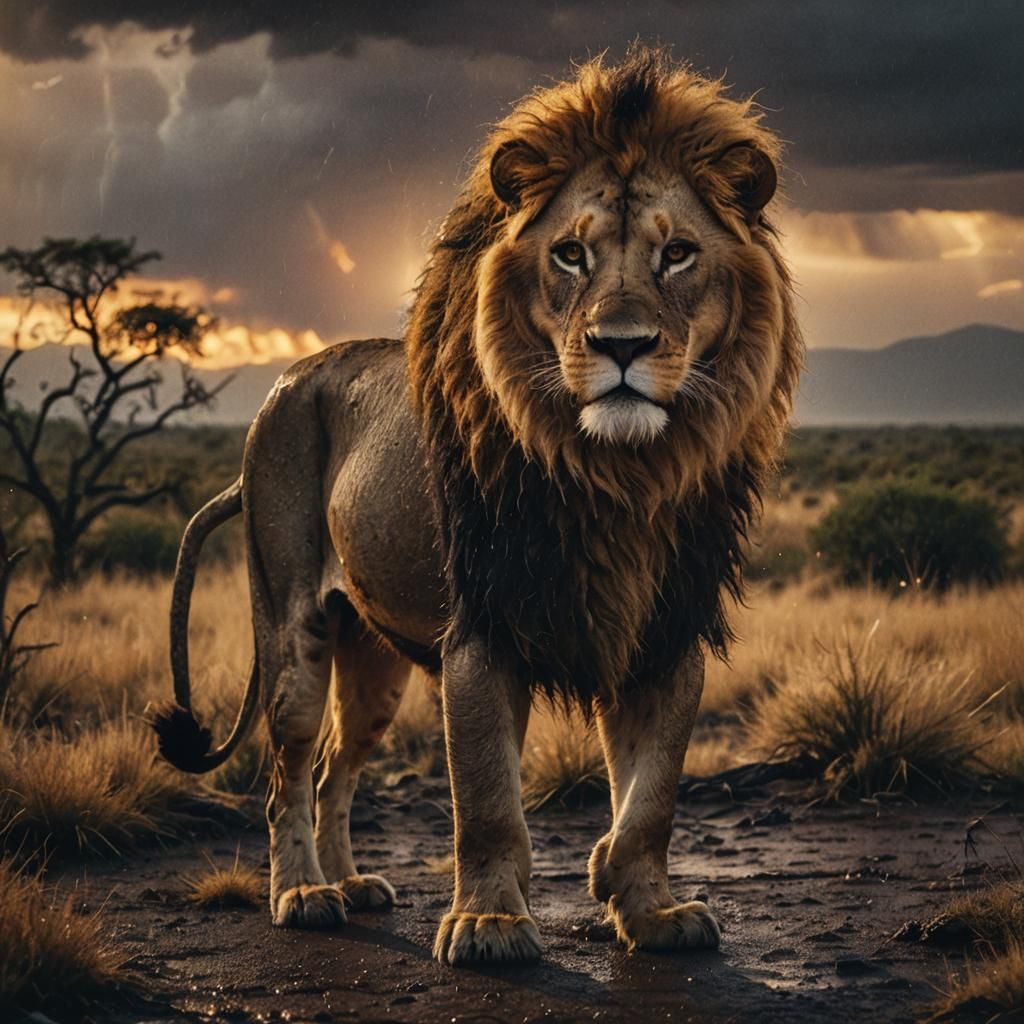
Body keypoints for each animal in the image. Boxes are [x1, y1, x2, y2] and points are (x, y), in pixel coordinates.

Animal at [152, 46, 802, 966]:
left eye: (676, 253)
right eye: (570, 255)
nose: (623, 346)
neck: (620, 475)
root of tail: (281, 390)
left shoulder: (666, 636)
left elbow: (651, 801)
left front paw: (642, 905)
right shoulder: (483, 634)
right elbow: (488, 801)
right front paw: (489, 924)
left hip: (374, 661)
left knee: (336, 769)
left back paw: (354, 882)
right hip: (293, 626)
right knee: (288, 775)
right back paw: (304, 894)